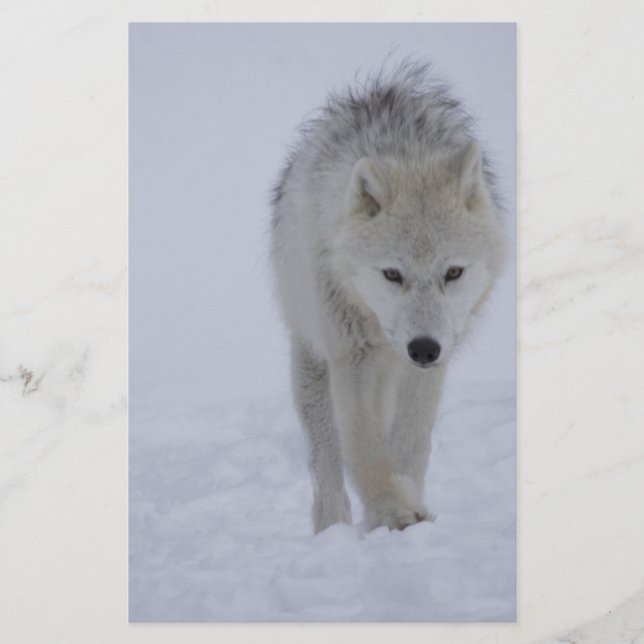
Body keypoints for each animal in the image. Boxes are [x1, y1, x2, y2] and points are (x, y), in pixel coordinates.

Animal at [270, 62, 506, 533]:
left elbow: (412, 441)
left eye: (453, 273)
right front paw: (394, 513)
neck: (408, 155)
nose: (423, 348)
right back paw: (333, 528)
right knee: (326, 464)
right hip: (312, 363)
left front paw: (408, 504)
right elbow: (364, 444)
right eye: (392, 274)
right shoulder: (352, 355)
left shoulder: (430, 365)